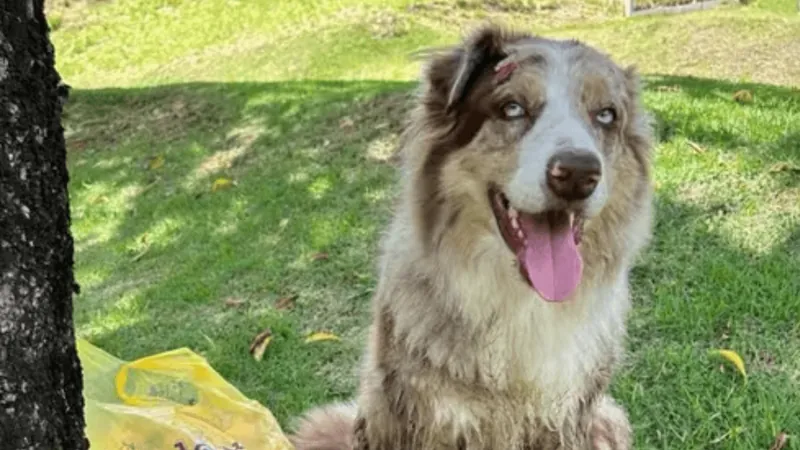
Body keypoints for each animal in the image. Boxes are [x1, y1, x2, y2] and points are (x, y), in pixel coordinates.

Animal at [290, 24, 652, 450]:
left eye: (606, 115)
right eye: (512, 108)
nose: (578, 173)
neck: (519, 301)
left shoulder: (570, 415)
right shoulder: (415, 415)